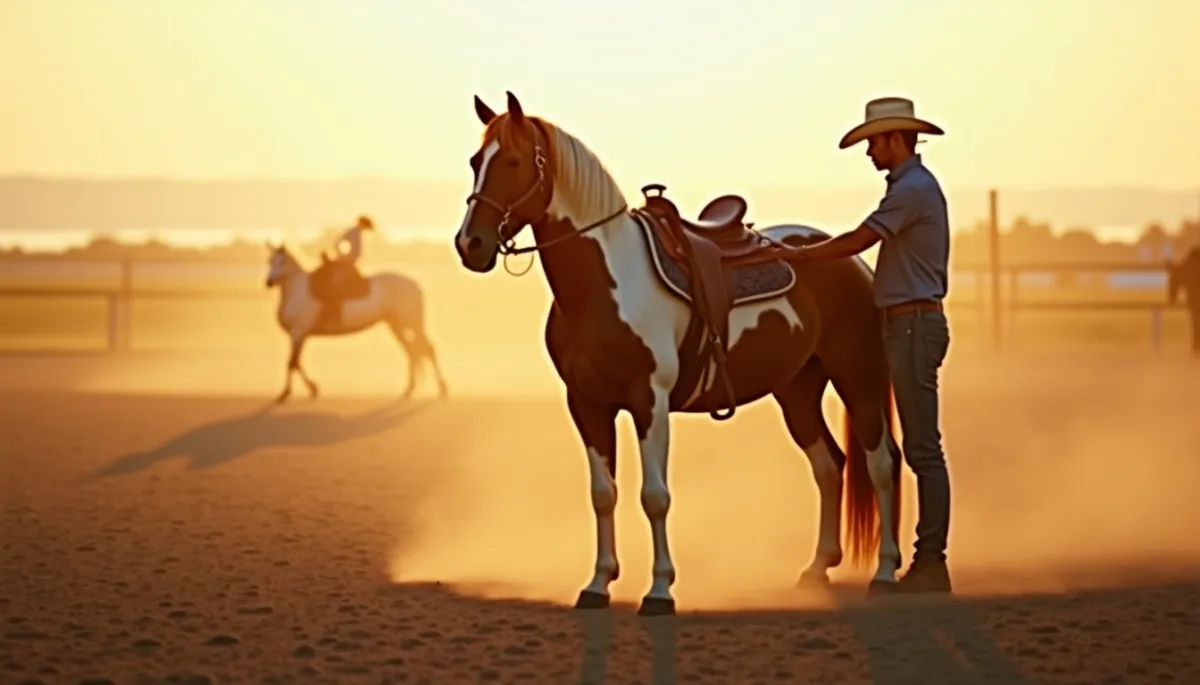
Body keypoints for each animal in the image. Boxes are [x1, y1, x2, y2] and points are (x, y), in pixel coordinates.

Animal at [263, 242, 449, 402]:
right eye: (269, 261)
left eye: (281, 261)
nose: (269, 282)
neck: (297, 291)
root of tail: (415, 284)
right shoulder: (299, 335)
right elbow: (296, 362)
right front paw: (312, 388)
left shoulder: (298, 332)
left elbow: (292, 362)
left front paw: (286, 393)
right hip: (396, 325)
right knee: (411, 351)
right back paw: (410, 389)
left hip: (412, 323)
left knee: (427, 349)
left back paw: (442, 387)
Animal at [451, 91, 903, 616]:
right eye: (475, 161)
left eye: (514, 161)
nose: (470, 244)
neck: (609, 283)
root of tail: (850, 259)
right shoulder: (587, 404)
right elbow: (603, 494)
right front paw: (598, 584)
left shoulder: (651, 401)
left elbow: (655, 496)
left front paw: (660, 590)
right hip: (797, 389)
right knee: (830, 466)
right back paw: (815, 569)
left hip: (859, 378)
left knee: (881, 463)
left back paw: (886, 571)